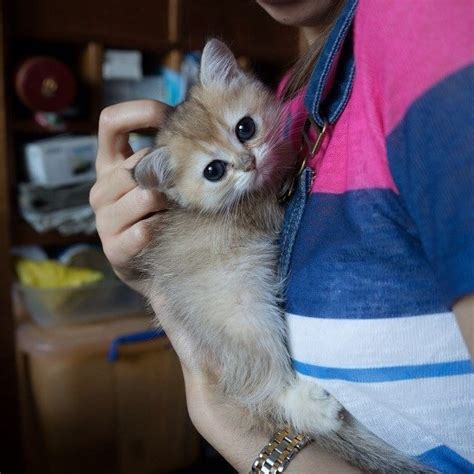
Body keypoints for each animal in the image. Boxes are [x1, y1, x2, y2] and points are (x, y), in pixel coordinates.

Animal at [131, 39, 436, 474]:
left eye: (245, 128)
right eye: (214, 171)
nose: (250, 162)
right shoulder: (266, 214)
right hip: (244, 316)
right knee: (261, 388)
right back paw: (311, 410)